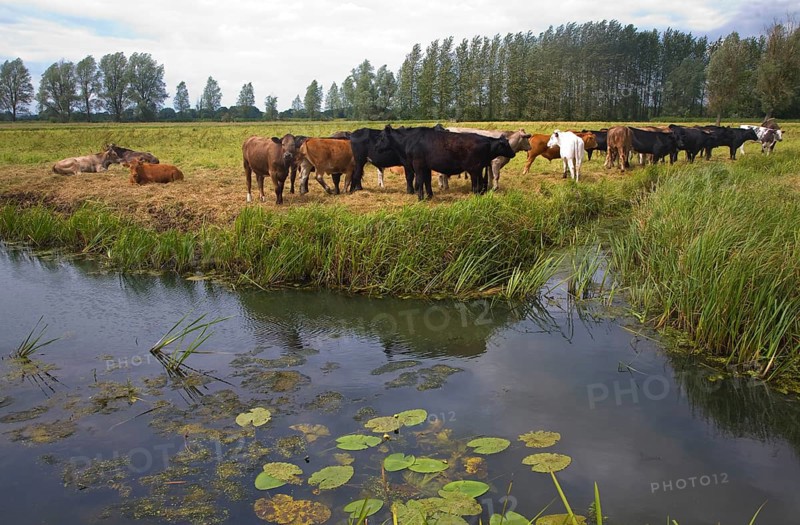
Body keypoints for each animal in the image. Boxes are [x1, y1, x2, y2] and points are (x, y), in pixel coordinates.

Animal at [375, 125, 516, 199]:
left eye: (382, 137)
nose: (376, 148)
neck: (410, 141)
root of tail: (485, 139)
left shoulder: (418, 165)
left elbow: (420, 181)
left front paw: (420, 197)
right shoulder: (426, 167)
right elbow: (427, 181)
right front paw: (429, 195)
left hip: (475, 168)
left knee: (478, 183)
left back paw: (476, 194)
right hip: (477, 168)